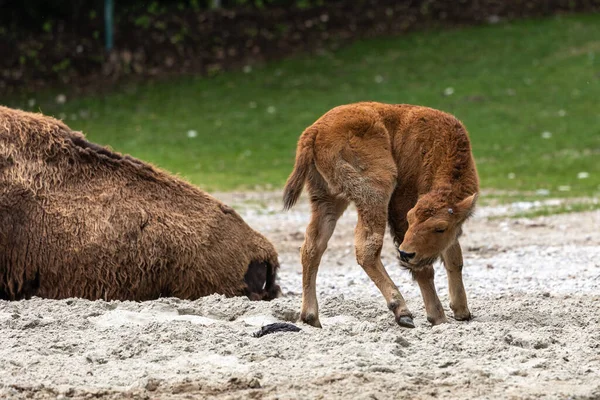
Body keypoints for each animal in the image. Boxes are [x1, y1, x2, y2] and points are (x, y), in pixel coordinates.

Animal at [284, 102, 478, 328]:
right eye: (410, 218)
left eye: (440, 227)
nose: (405, 253)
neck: (438, 146)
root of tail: (314, 131)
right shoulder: (401, 205)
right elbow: (425, 268)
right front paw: (438, 317)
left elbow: (455, 258)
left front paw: (462, 311)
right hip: (376, 190)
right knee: (366, 248)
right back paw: (402, 312)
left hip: (328, 199)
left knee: (312, 247)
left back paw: (311, 316)